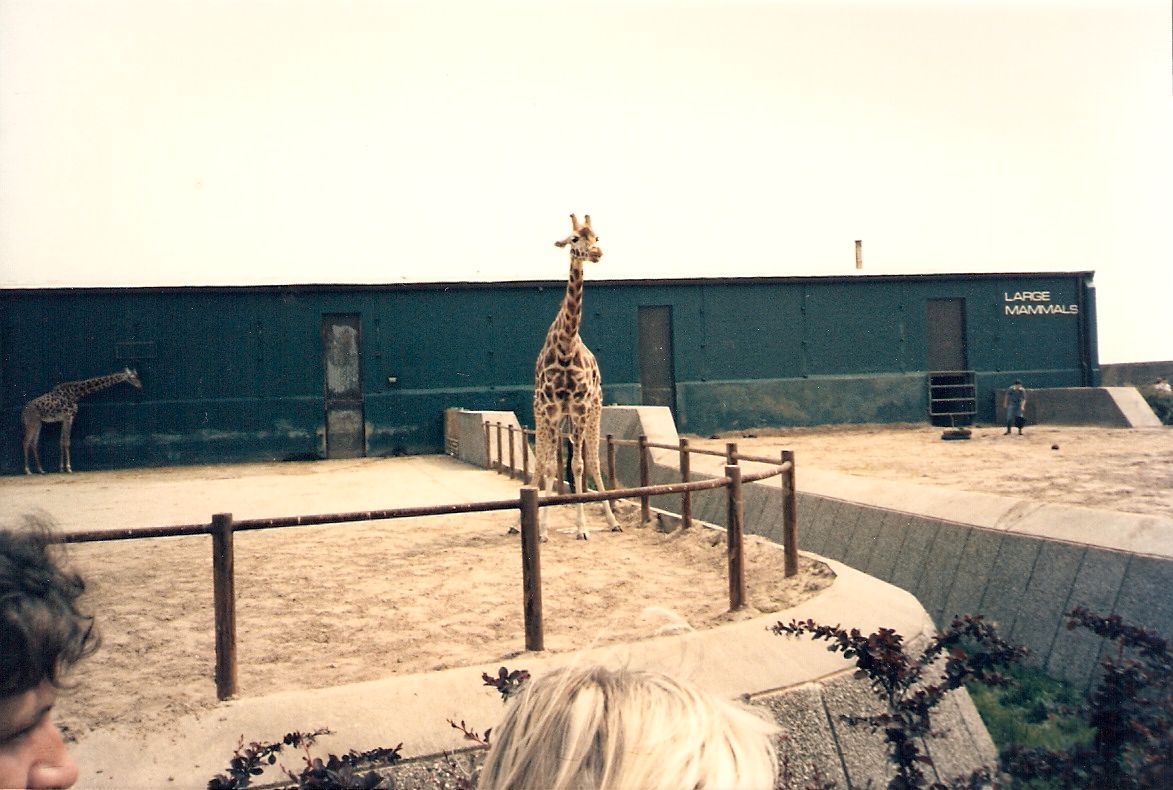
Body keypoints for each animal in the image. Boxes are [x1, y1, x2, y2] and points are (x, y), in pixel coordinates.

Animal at [529, 213, 622, 540]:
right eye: (574, 239)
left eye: (597, 237)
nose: (597, 253)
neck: (566, 347)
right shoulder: (551, 409)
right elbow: (548, 466)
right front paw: (542, 530)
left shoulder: (580, 407)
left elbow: (580, 465)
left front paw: (582, 528)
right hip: (549, 415)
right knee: (543, 462)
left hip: (593, 410)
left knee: (592, 459)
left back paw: (612, 521)